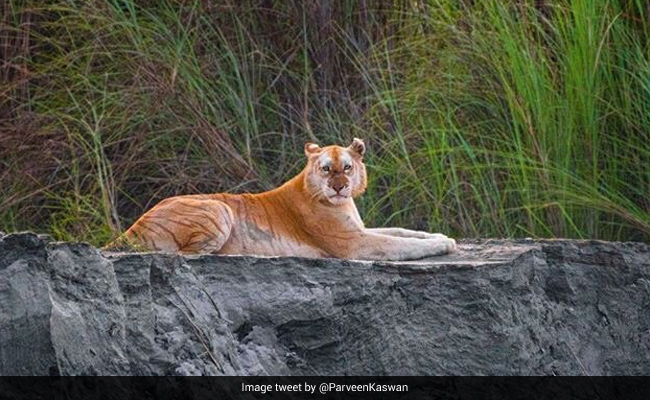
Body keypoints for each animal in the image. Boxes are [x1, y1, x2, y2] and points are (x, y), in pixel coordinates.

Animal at [104, 138, 457, 261]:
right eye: (326, 169)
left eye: (347, 167)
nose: (339, 187)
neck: (341, 203)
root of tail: (132, 227)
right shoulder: (353, 244)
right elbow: (401, 244)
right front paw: (442, 244)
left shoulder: (360, 229)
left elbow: (402, 231)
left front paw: (441, 235)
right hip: (219, 208)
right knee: (187, 255)